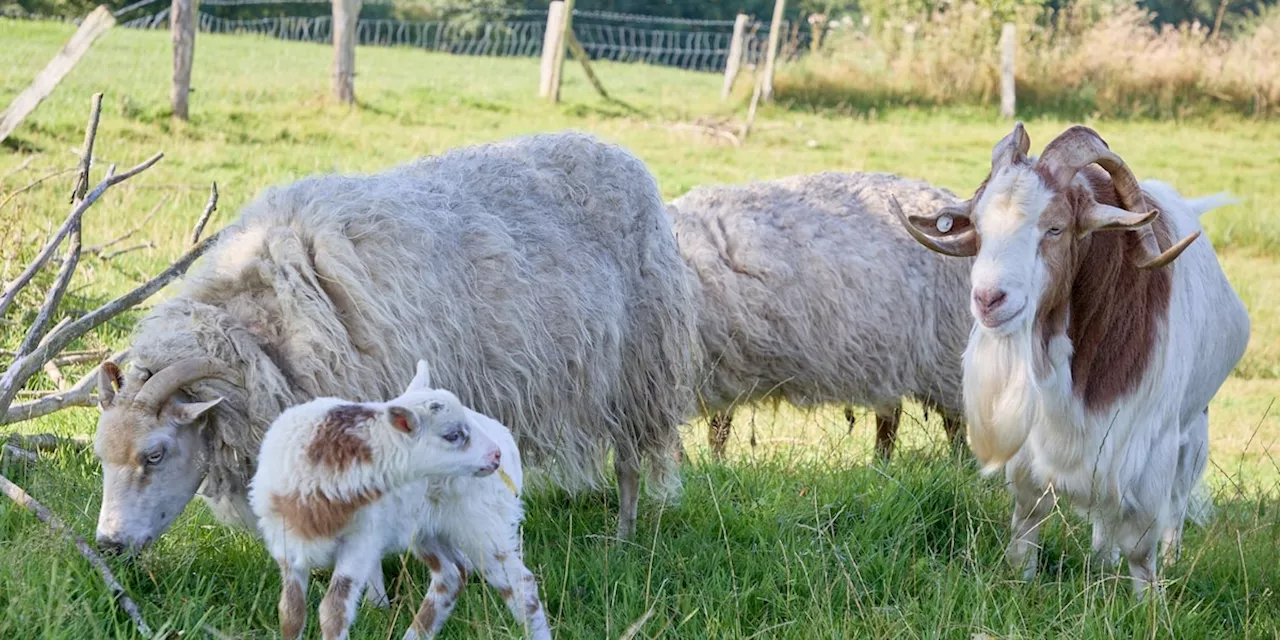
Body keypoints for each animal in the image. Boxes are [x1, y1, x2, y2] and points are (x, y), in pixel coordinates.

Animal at [94, 131, 706, 565]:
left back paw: (623, 540)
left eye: (155, 454)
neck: (269, 329)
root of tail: (621, 153)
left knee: (629, 463)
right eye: (102, 456)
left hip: (639, 369)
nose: (107, 546)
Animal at [249, 360, 550, 640]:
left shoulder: (361, 543)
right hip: (427, 529)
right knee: (452, 576)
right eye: (453, 435)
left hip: (482, 523)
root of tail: (506, 439)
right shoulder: (285, 544)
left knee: (521, 585)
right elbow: (291, 612)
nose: (494, 455)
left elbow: (334, 610)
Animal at [670, 172, 967, 458]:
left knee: (955, 423)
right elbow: (714, 431)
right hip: (891, 358)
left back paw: (957, 465)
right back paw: (879, 467)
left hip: (946, 354)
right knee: (890, 417)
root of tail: (948, 198)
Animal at [896, 123, 1244, 593]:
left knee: (1175, 504)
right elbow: (1029, 517)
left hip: (1193, 429)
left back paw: (1168, 561)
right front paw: (1021, 580)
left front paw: (1148, 601)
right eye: (979, 229)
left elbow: (1141, 544)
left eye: (1055, 228)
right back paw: (1100, 563)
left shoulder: (1147, 442)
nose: (989, 299)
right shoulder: (1038, 441)